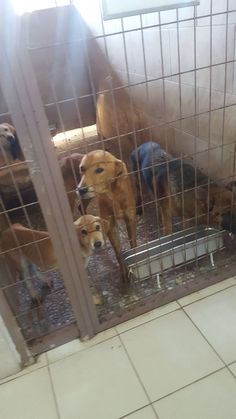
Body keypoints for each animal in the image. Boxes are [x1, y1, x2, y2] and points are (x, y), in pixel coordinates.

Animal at [77, 149, 136, 278]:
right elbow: (118, 252)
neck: (112, 195)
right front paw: (124, 272)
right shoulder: (110, 225)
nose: (81, 190)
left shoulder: (130, 220)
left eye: (99, 170)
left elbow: (133, 244)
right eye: (82, 169)